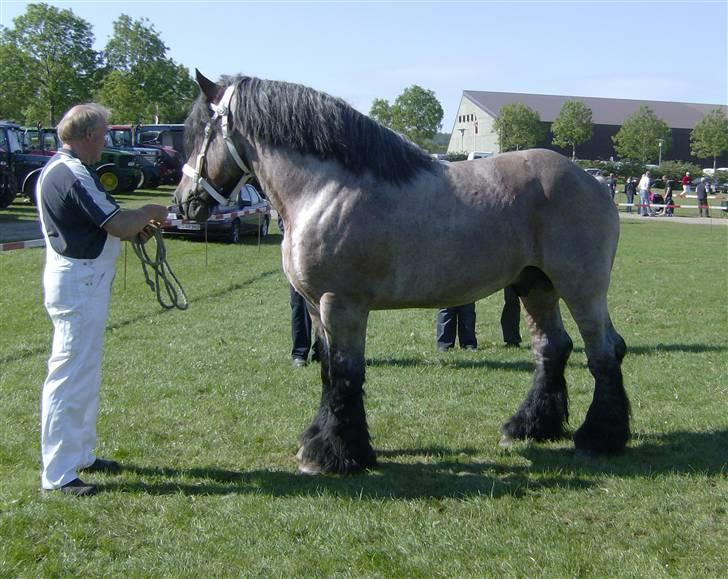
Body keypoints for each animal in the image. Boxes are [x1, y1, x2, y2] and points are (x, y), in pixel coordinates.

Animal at [176, 70, 632, 474]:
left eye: (200, 133)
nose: (184, 203)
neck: (327, 190)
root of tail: (594, 182)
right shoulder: (316, 308)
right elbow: (327, 372)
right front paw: (319, 443)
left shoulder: (341, 306)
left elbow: (345, 374)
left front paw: (339, 454)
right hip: (535, 286)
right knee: (553, 348)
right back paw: (529, 427)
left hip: (581, 289)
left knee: (604, 352)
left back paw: (599, 437)